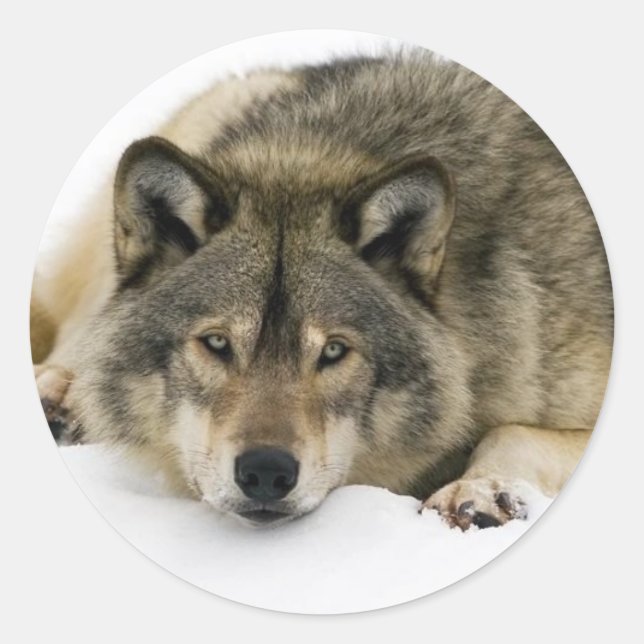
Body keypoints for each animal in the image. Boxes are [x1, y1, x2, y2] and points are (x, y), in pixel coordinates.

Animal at [31, 49, 613, 529]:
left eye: (333, 351)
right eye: (217, 343)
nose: (266, 472)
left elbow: (509, 431)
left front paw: (480, 489)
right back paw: (58, 396)